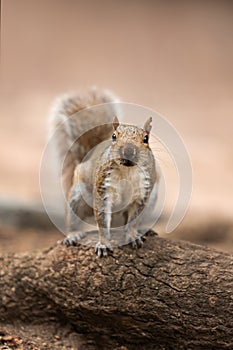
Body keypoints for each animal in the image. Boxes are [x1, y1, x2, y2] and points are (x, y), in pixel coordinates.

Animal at [51, 87, 158, 258]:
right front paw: (103, 244)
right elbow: (102, 220)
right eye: (114, 136)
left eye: (146, 139)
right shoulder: (103, 189)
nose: (128, 151)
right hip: (77, 197)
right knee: (74, 220)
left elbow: (134, 220)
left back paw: (144, 230)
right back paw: (73, 234)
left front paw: (133, 235)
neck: (127, 170)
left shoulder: (143, 193)